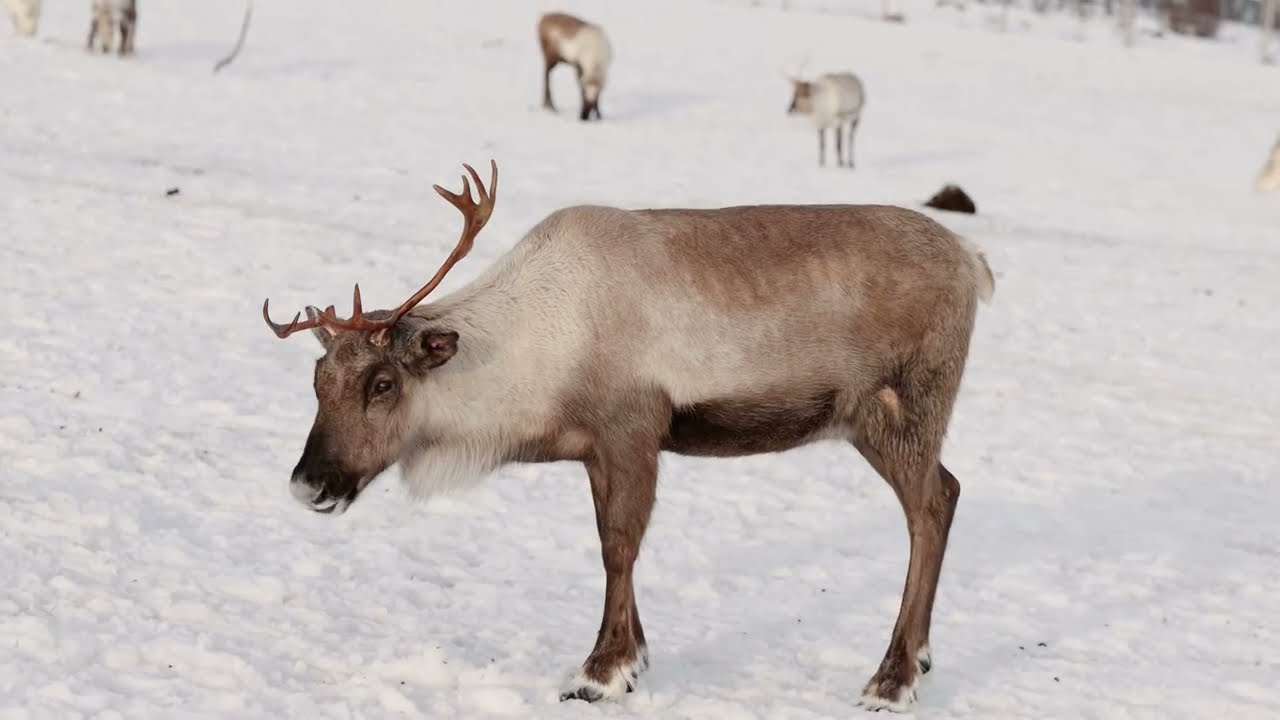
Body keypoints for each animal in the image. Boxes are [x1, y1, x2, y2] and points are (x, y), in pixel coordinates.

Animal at [261, 160, 995, 712]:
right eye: (318, 380)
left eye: (383, 383)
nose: (309, 483)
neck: (531, 353)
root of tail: (973, 260)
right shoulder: (594, 449)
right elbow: (608, 541)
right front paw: (634, 658)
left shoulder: (633, 429)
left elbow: (619, 545)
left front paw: (599, 672)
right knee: (952, 488)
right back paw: (919, 659)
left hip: (903, 407)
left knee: (930, 506)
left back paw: (892, 679)